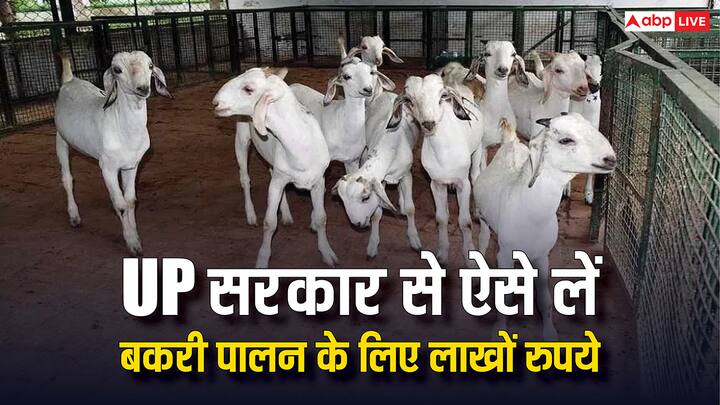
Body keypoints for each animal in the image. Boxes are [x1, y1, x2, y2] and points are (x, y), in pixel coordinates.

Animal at [54, 51, 171, 255]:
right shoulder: (108, 168)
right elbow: (121, 205)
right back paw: (74, 217)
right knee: (67, 178)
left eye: (150, 66)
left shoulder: (132, 165)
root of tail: (70, 80)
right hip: (60, 139)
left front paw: (135, 234)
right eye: (117, 70)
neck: (122, 128)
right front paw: (132, 243)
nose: (143, 88)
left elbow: (130, 200)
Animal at [213, 67, 338, 268]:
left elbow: (321, 218)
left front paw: (327, 253)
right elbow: (269, 223)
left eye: (248, 89)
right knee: (245, 179)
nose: (215, 102)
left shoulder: (319, 181)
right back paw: (251, 215)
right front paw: (263, 260)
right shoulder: (278, 182)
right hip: (241, 139)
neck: (300, 144)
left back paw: (286, 214)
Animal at [333, 92, 422, 258]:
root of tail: (385, 93)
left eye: (365, 198)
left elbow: (410, 208)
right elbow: (376, 214)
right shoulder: (382, 180)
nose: (357, 224)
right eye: (342, 200)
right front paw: (373, 244)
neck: (389, 147)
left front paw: (414, 239)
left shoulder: (406, 175)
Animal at [387, 74, 484, 267]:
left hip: (478, 149)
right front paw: (442, 254)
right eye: (410, 100)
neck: (444, 152)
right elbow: (441, 218)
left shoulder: (464, 184)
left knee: (476, 175)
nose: (429, 124)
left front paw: (469, 256)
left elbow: (465, 222)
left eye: (442, 96)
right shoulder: (436, 183)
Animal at [473, 114, 616, 340]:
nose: (611, 159)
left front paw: (550, 333)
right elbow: (505, 299)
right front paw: (499, 331)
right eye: (565, 140)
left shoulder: (542, 256)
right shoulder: (505, 254)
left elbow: (545, 300)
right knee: (483, 240)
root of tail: (510, 141)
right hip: (483, 218)